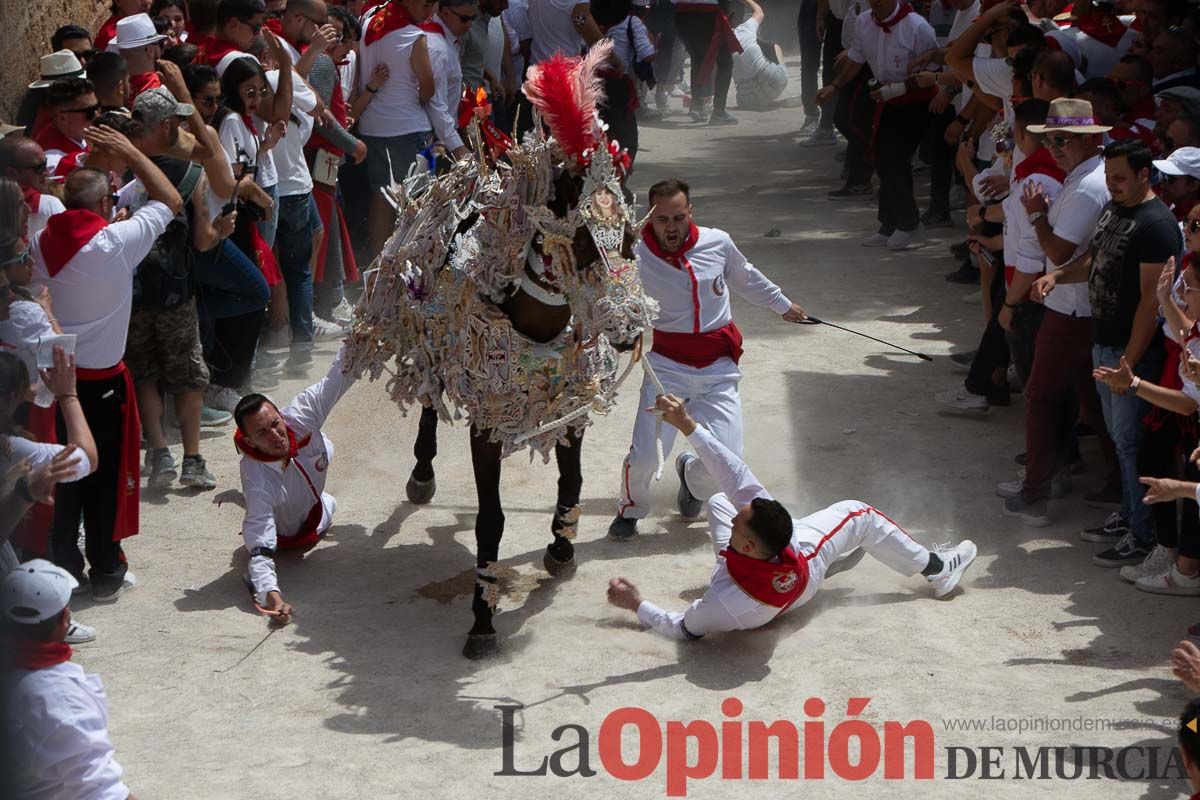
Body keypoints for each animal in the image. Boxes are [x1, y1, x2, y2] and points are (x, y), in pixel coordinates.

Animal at [343, 43, 662, 657]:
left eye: (633, 237)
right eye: (584, 242)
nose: (631, 328)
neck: (536, 324)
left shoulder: (569, 405)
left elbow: (572, 481)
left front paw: (561, 548)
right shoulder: (489, 423)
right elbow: (489, 518)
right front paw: (482, 620)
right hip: (430, 341)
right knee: (428, 398)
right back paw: (421, 474)